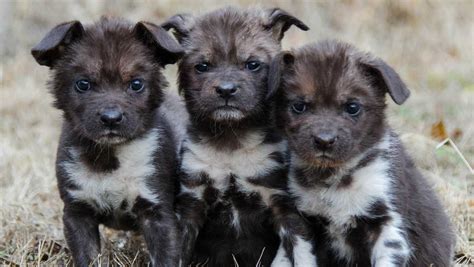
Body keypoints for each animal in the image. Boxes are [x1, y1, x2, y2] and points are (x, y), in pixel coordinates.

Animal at [31, 17, 183, 266]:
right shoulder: (77, 212)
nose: (111, 118)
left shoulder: (158, 213)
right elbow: (89, 258)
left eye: (136, 84)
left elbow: (165, 259)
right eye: (83, 84)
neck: (110, 156)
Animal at [163, 6, 314, 267]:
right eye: (202, 66)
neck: (231, 144)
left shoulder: (284, 205)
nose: (226, 90)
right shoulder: (191, 204)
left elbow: (302, 254)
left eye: (252, 64)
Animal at [266, 40, 456, 266]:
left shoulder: (387, 224)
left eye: (352, 107)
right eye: (299, 106)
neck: (333, 179)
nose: (324, 141)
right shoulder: (300, 222)